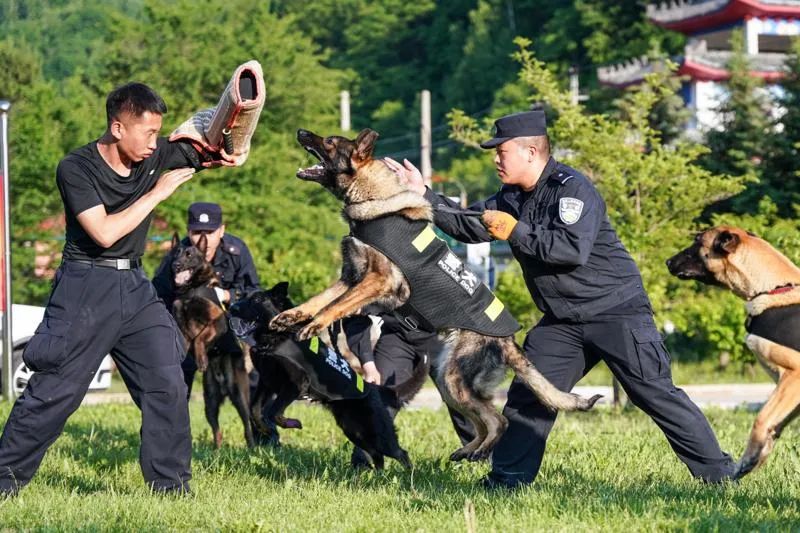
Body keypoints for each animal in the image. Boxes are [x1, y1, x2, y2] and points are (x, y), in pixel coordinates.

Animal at [170, 235, 255, 446]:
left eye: (189, 255)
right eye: (175, 253)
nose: (175, 265)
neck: (191, 289)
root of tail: (222, 382)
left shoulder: (218, 323)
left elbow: (200, 338)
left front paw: (201, 358)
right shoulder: (181, 323)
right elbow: (186, 341)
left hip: (240, 397)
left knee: (247, 426)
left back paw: (252, 447)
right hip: (210, 403)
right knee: (217, 431)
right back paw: (217, 450)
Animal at [231, 280, 428, 468]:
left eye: (257, 300)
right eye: (242, 296)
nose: (232, 307)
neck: (277, 335)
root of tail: (374, 388)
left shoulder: (296, 383)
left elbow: (272, 412)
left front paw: (290, 424)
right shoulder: (266, 382)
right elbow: (254, 410)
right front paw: (265, 429)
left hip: (376, 433)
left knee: (400, 453)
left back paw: (409, 476)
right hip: (354, 431)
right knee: (377, 456)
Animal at [268, 128, 600, 462]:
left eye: (330, 142)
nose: (301, 132)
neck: (375, 198)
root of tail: (507, 339)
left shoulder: (376, 281)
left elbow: (334, 306)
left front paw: (312, 326)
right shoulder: (351, 278)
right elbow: (319, 299)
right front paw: (290, 317)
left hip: (454, 380)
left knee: (498, 420)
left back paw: (478, 451)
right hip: (446, 381)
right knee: (483, 420)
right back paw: (467, 450)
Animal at [664, 225, 800, 478]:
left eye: (698, 242)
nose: (668, 261)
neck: (772, 289)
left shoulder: (794, 376)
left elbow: (761, 419)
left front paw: (748, 460)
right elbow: (773, 425)